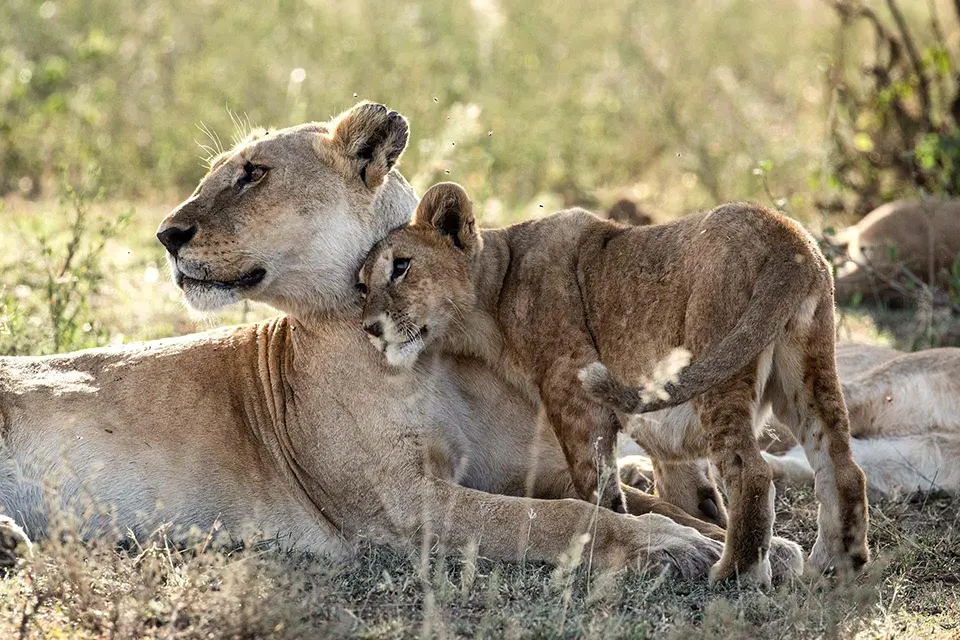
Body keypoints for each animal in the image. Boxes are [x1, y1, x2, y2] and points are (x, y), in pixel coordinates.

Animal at [0, 102, 739, 581]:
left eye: (251, 173)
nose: (166, 235)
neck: (438, 353)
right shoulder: (402, 506)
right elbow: (560, 520)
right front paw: (672, 543)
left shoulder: (523, 468)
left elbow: (609, 500)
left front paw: (730, 537)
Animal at [358, 181, 869, 584]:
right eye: (362, 286)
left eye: (401, 266)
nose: (369, 327)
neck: (494, 291)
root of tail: (784, 234)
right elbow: (687, 489)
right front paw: (697, 525)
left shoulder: (571, 388)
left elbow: (597, 486)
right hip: (808, 367)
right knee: (841, 465)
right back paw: (837, 564)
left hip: (719, 362)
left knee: (751, 472)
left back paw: (735, 573)